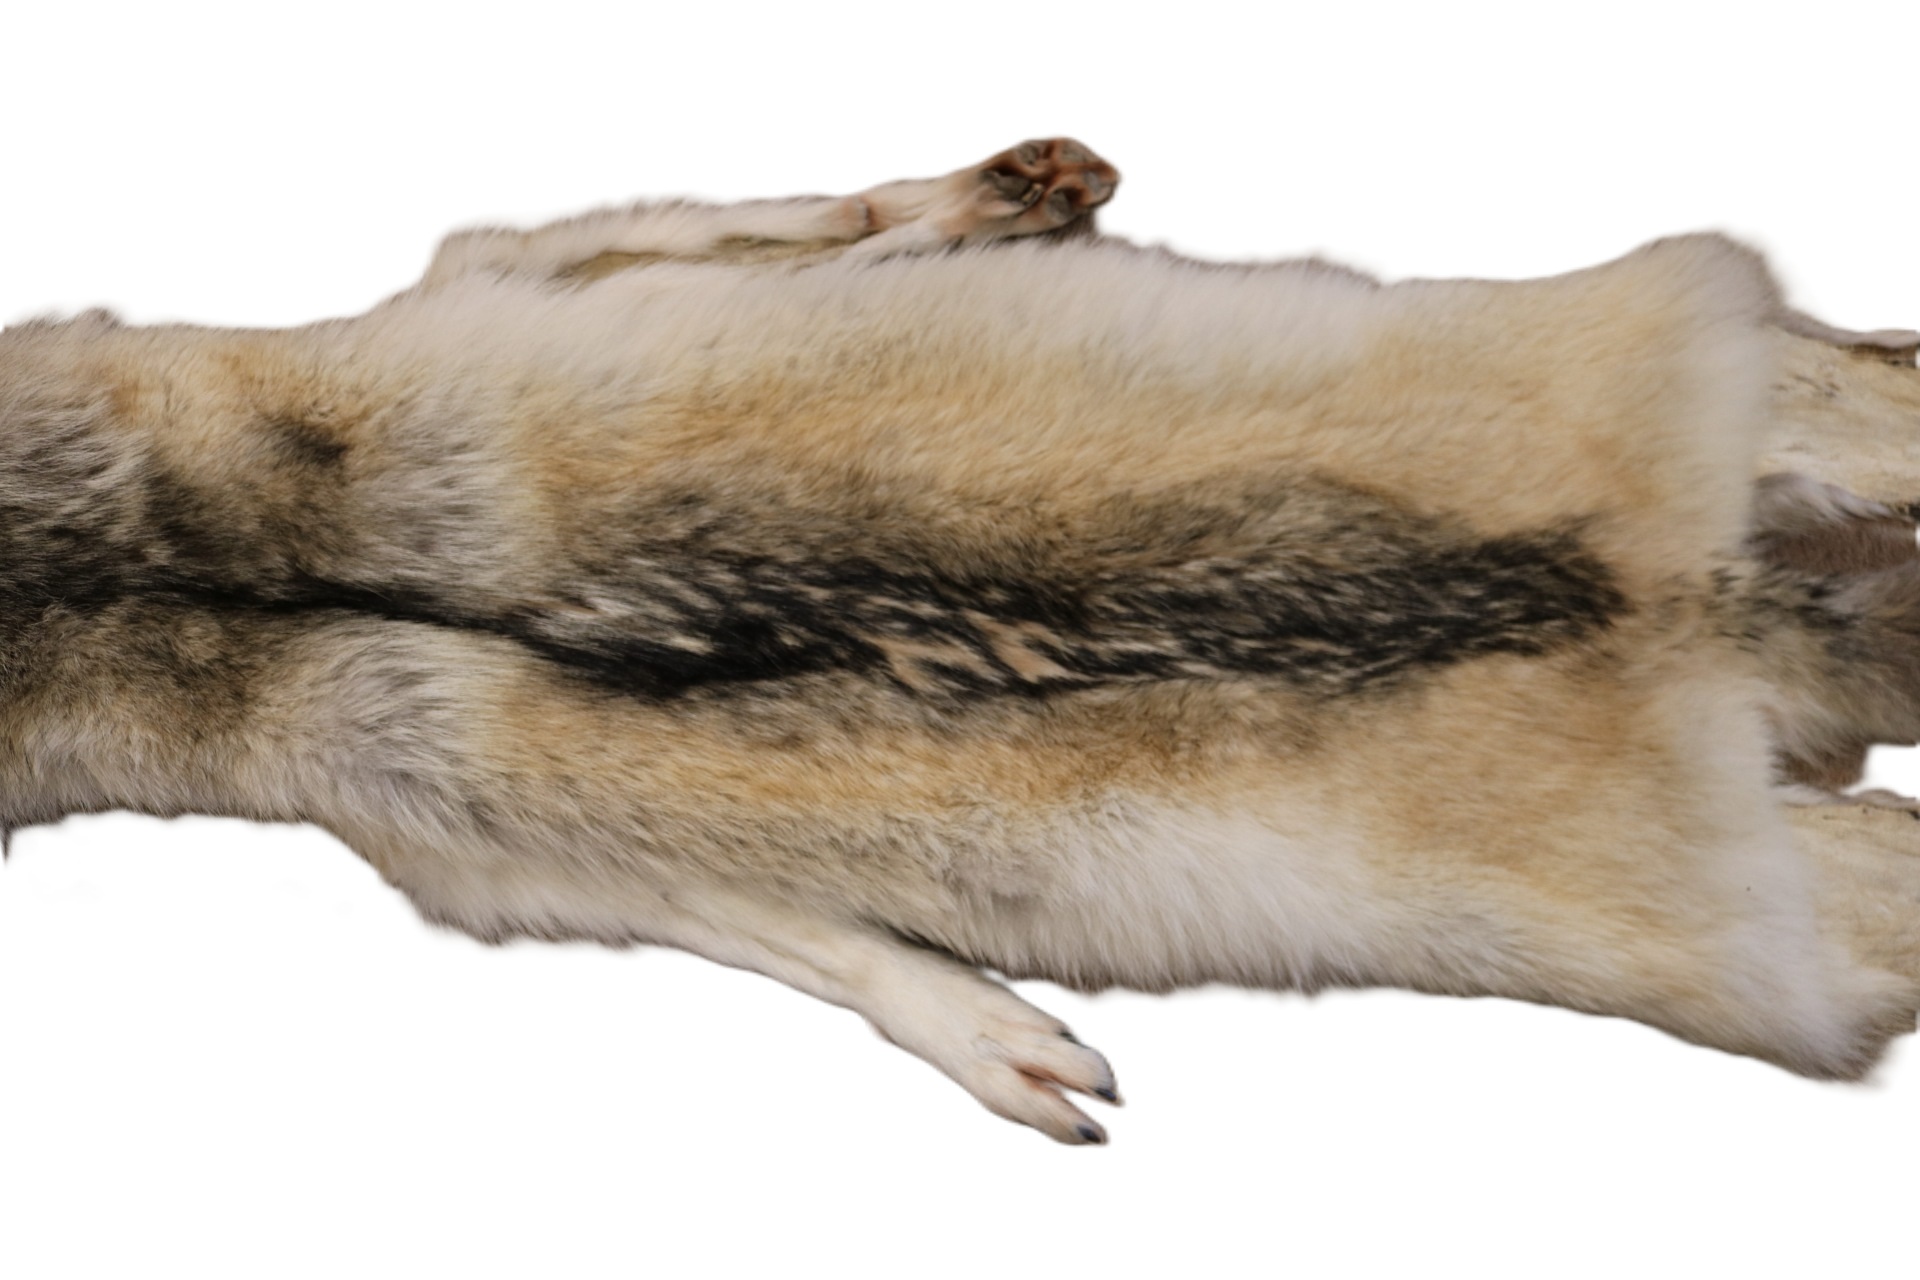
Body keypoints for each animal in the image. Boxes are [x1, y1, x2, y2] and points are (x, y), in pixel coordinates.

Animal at [6, 139, 1920, 1144]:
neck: (116, 561)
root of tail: (1710, 614)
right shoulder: (477, 850)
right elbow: (817, 945)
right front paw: (1014, 1053)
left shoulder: (483, 280)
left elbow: (728, 228)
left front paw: (1011, 196)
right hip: (1783, 867)